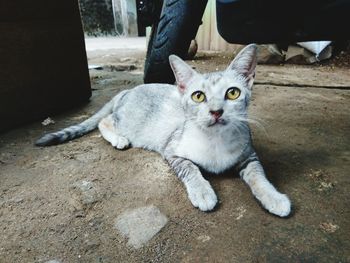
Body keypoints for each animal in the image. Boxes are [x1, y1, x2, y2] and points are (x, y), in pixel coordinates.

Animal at [37, 44, 292, 218]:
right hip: (127, 120)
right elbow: (191, 169)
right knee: (105, 121)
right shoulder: (172, 150)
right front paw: (203, 192)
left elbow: (259, 176)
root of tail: (129, 90)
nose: (216, 111)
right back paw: (118, 138)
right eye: (198, 96)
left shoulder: (249, 154)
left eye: (233, 93)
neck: (215, 141)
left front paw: (274, 197)